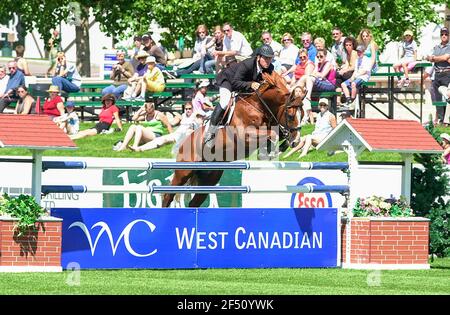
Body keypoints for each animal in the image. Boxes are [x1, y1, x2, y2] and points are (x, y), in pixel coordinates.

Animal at [160, 73, 304, 209]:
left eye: (302, 115)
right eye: (291, 116)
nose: (296, 141)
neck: (258, 107)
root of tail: (183, 143)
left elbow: (278, 135)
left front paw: (278, 149)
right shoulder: (245, 136)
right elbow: (273, 135)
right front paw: (269, 153)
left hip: (210, 178)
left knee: (194, 202)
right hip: (184, 172)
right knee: (168, 195)